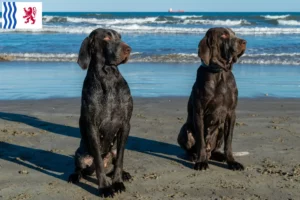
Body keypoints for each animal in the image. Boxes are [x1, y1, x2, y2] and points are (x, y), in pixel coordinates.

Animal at [69, 28, 134, 198]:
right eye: (106, 38)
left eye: (120, 37)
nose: (128, 49)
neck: (108, 77)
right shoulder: (92, 126)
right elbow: (98, 160)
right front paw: (104, 187)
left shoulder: (125, 124)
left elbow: (120, 160)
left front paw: (117, 182)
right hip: (81, 153)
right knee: (80, 167)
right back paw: (75, 175)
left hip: (113, 150)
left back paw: (123, 174)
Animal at [178, 26, 246, 170]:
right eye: (224, 35)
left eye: (234, 34)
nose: (244, 42)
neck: (219, 73)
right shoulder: (199, 113)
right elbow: (201, 142)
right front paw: (201, 161)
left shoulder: (231, 113)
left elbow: (229, 141)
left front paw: (232, 161)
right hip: (185, 130)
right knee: (192, 148)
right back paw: (194, 156)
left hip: (220, 129)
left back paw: (220, 156)